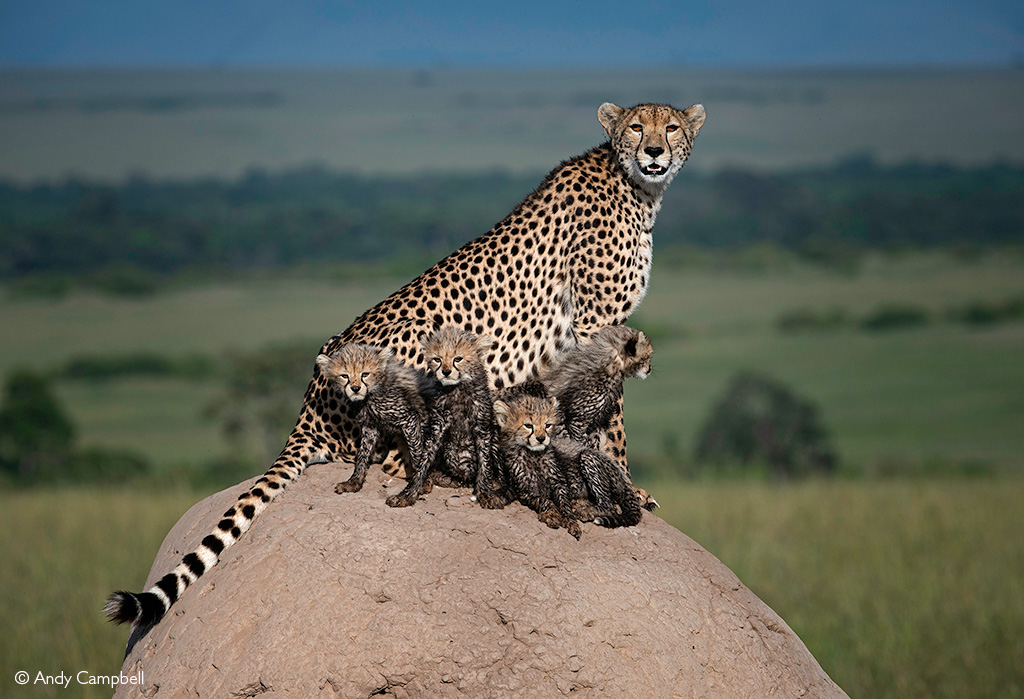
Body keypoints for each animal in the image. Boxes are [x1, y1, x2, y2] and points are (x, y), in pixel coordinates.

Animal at [493, 393, 581, 539]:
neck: (534, 455)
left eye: (547, 425)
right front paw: (551, 514)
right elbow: (544, 500)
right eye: (528, 425)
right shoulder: (525, 490)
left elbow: (565, 503)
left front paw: (571, 521)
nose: (541, 438)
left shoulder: (559, 483)